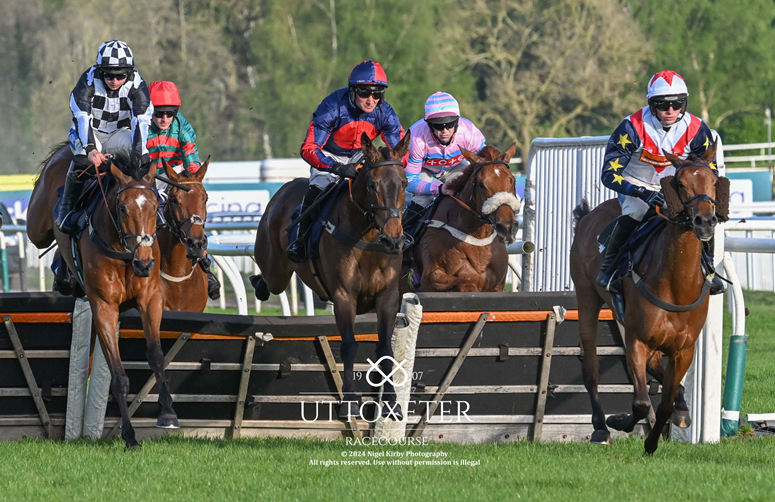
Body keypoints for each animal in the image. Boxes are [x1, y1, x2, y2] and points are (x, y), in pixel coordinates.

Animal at [26, 147, 177, 450]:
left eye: (155, 207)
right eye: (123, 208)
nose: (144, 264)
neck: (124, 253)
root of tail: (64, 151)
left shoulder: (150, 300)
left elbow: (156, 355)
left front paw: (167, 413)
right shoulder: (105, 308)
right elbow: (118, 375)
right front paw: (129, 435)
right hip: (36, 228)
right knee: (40, 236)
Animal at [253, 131, 412, 418]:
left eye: (404, 183)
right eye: (372, 186)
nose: (394, 240)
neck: (367, 239)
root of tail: (282, 190)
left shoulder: (388, 297)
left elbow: (386, 348)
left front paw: (391, 401)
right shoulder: (343, 296)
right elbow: (349, 346)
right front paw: (349, 401)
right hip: (276, 269)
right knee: (267, 280)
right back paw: (255, 282)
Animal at [406, 143, 520, 292]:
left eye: (513, 180)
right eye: (481, 184)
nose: (507, 228)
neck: (477, 237)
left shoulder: (497, 286)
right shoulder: (430, 277)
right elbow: (468, 285)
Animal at [568, 142, 728, 454]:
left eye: (714, 182)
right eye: (680, 183)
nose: (704, 222)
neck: (677, 285)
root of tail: (588, 215)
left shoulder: (684, 349)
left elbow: (664, 403)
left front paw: (656, 436)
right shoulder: (636, 340)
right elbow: (641, 403)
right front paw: (619, 421)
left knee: (658, 371)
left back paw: (681, 406)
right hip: (587, 297)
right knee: (591, 368)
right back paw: (600, 427)